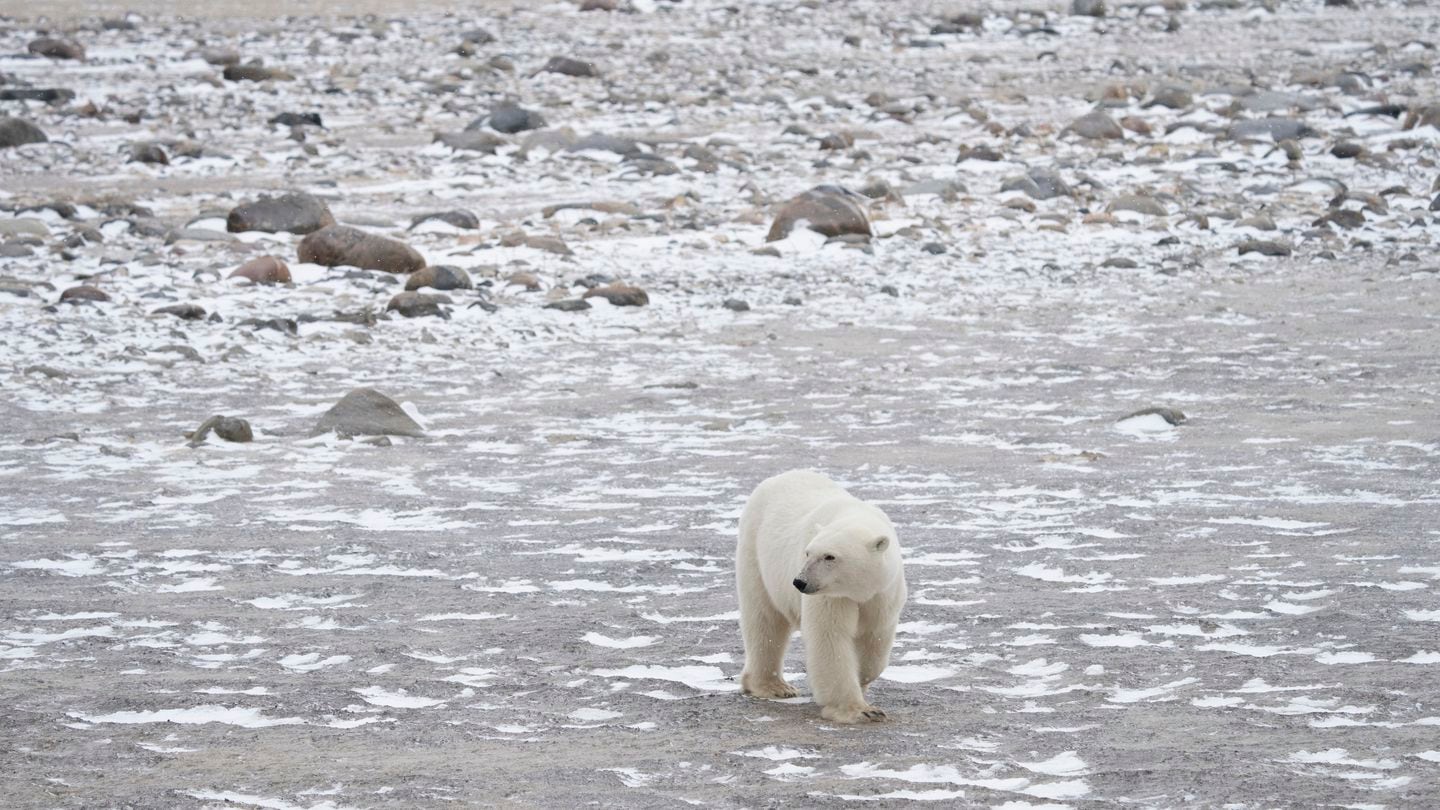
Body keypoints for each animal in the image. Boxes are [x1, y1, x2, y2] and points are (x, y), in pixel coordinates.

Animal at [737, 469, 904, 720]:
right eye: (808, 552)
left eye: (830, 556)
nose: (799, 582)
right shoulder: (832, 596)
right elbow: (830, 637)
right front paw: (860, 711)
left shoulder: (883, 592)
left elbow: (875, 637)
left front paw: (862, 680)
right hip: (756, 553)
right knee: (765, 620)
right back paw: (774, 686)